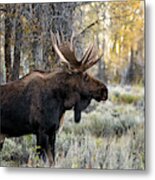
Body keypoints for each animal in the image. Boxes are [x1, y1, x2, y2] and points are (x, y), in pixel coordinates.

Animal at [0, 32, 108, 166]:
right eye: (86, 76)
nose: (105, 90)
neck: (61, 103)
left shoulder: (52, 131)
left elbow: (53, 159)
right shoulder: (41, 130)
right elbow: (43, 158)